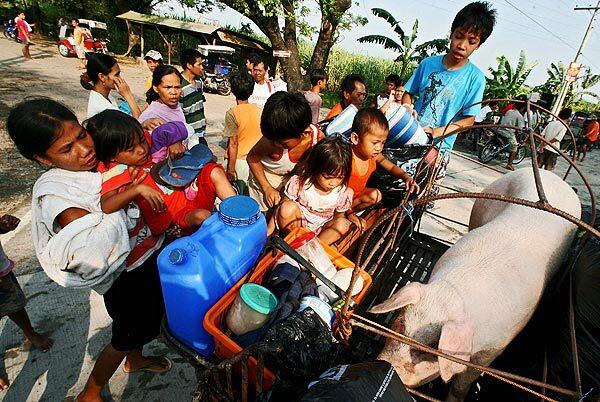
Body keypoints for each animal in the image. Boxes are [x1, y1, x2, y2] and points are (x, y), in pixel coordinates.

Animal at [370, 168, 580, 400]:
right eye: (399, 323)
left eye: (431, 348)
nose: (387, 364)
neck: (452, 294)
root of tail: (553, 176)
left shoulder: (496, 345)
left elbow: (465, 380)